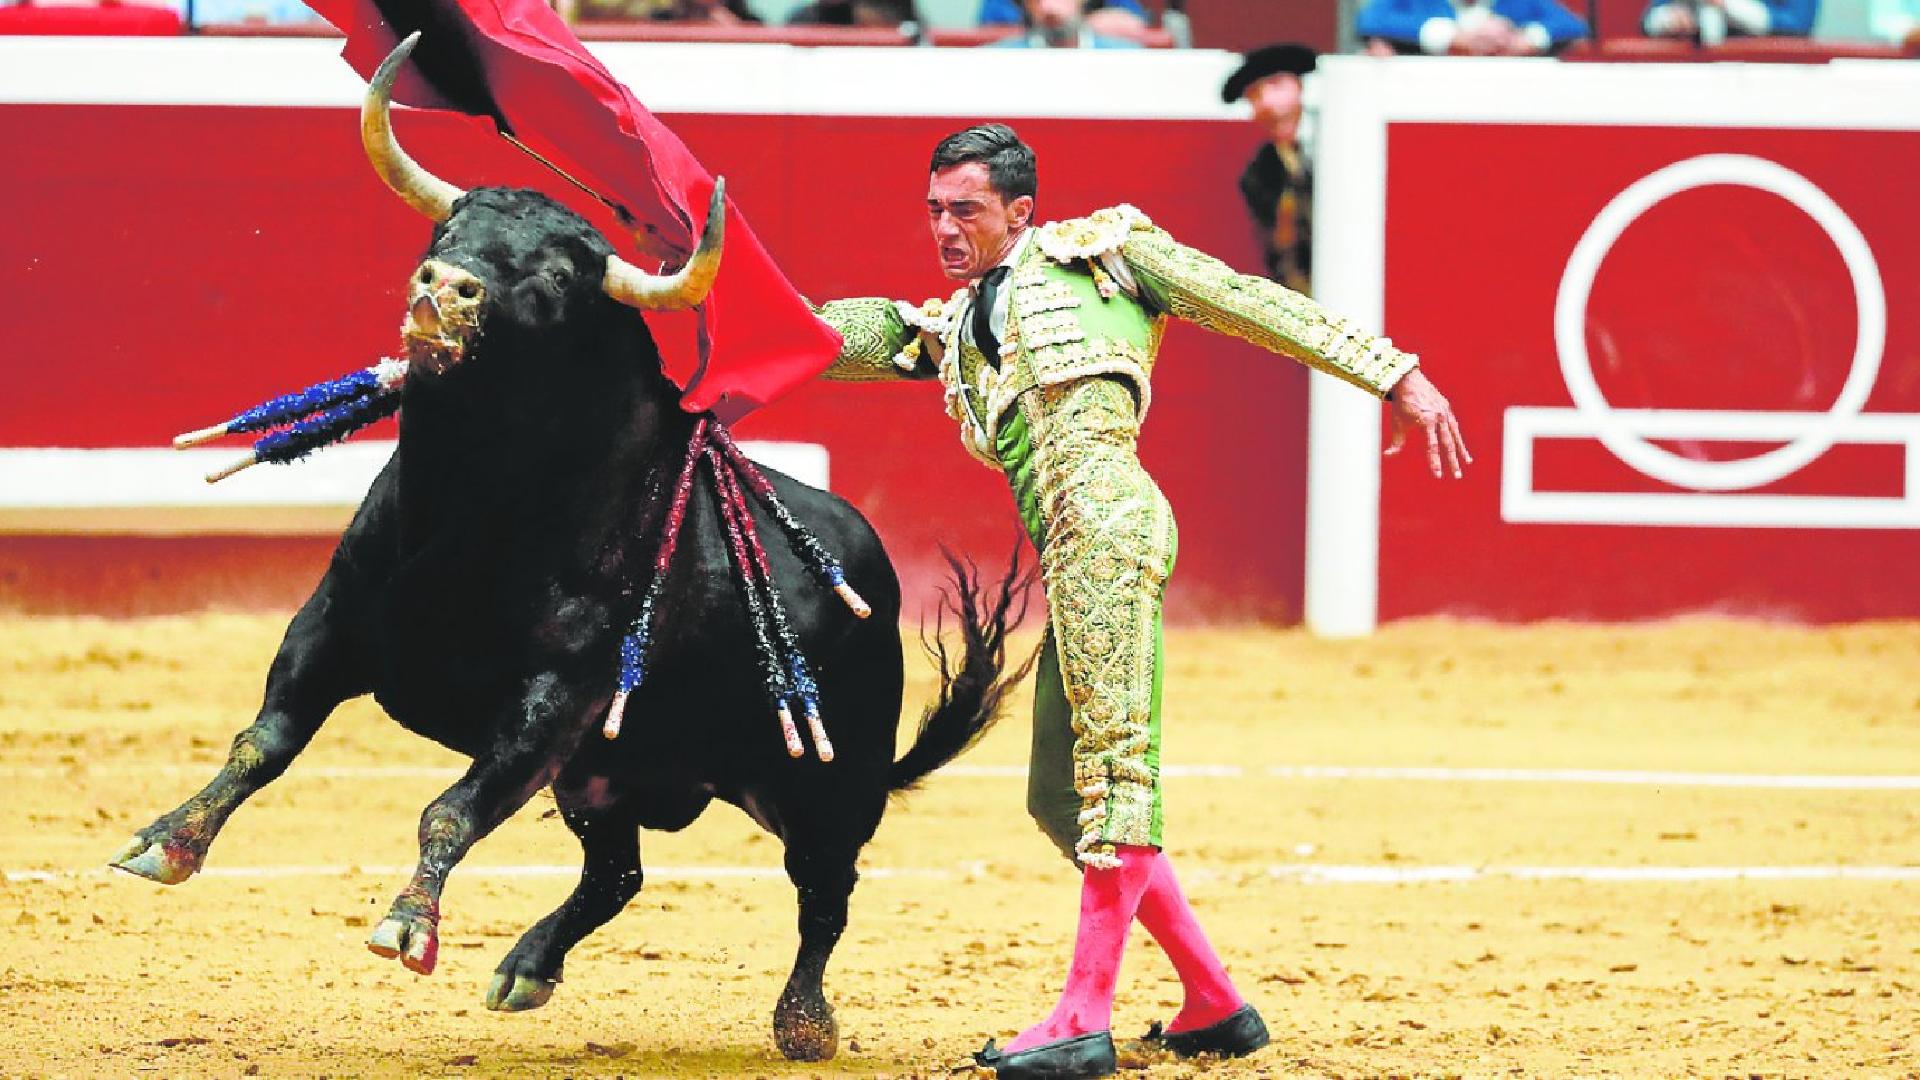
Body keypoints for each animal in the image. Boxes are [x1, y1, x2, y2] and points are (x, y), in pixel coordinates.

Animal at [105, 42, 1036, 1060]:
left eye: (555, 279)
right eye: (454, 226)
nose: (443, 289)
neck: (471, 510)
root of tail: (869, 567)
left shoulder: (554, 700)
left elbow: (451, 807)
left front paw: (407, 924)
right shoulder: (332, 626)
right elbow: (262, 742)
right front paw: (166, 843)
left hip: (828, 782)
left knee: (823, 892)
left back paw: (804, 1022)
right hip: (608, 782)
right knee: (618, 875)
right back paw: (528, 966)